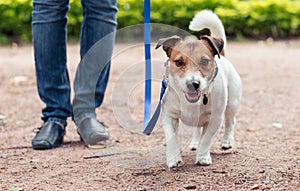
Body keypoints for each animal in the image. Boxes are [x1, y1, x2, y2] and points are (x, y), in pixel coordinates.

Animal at [156, 9, 243, 168]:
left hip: (232, 104)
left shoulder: (215, 119)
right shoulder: (168, 115)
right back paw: (195, 142)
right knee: (198, 129)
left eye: (204, 61)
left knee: (230, 122)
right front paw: (173, 158)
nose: (193, 83)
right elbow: (171, 137)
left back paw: (227, 141)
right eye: (179, 62)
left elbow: (206, 139)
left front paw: (202, 157)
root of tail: (222, 55)